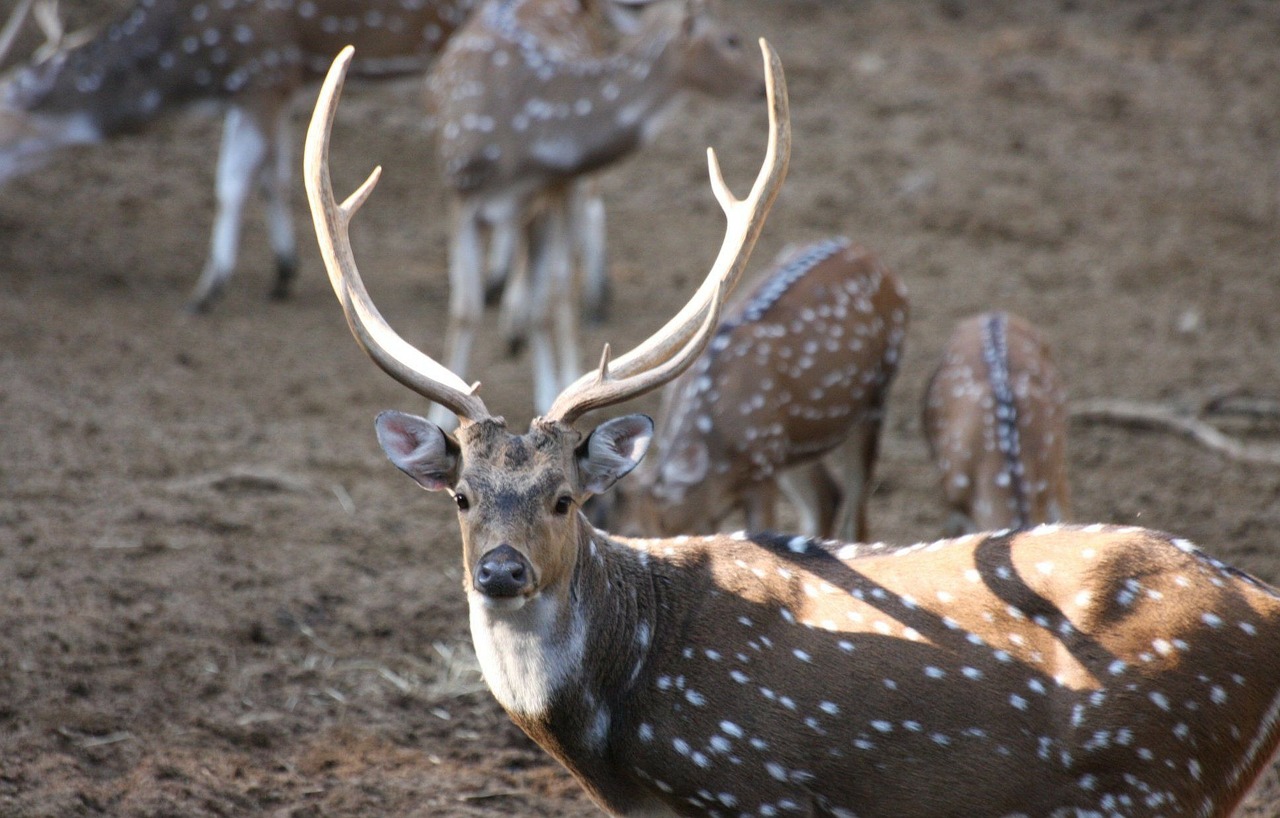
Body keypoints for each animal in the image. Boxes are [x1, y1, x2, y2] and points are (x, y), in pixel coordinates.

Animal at [0, 0, 481, 313]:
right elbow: (275, 176)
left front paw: (207, 290)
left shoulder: (264, 71)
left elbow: (230, 183)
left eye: (4, 134)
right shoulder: (275, 87)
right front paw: (283, 271)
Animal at [424, 0, 757, 425]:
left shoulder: (553, 187)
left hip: (566, 190)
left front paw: (551, 393)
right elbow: (465, 310)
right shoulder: (461, 190)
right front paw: (440, 417)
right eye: (731, 39)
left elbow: (550, 300)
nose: (761, 86)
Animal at [601, 236, 911, 542]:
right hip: (794, 443)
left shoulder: (762, 471)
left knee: (856, 516)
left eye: (634, 533)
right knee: (826, 496)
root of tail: (869, 255)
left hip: (875, 399)